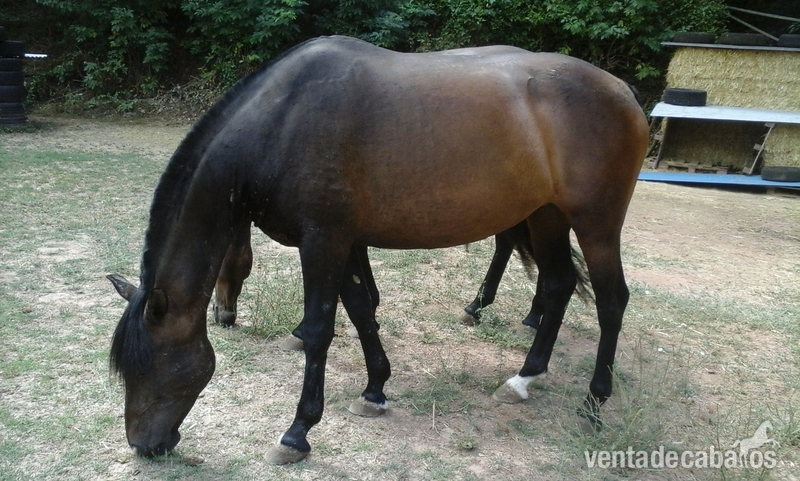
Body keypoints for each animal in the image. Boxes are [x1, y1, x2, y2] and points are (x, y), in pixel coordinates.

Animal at [107, 35, 648, 464]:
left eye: (148, 366)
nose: (144, 446)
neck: (282, 121)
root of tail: (623, 92)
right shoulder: (344, 242)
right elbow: (362, 309)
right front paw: (375, 390)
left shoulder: (322, 241)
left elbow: (321, 330)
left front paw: (298, 433)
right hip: (546, 215)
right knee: (557, 285)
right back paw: (523, 379)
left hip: (596, 225)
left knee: (611, 301)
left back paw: (594, 404)